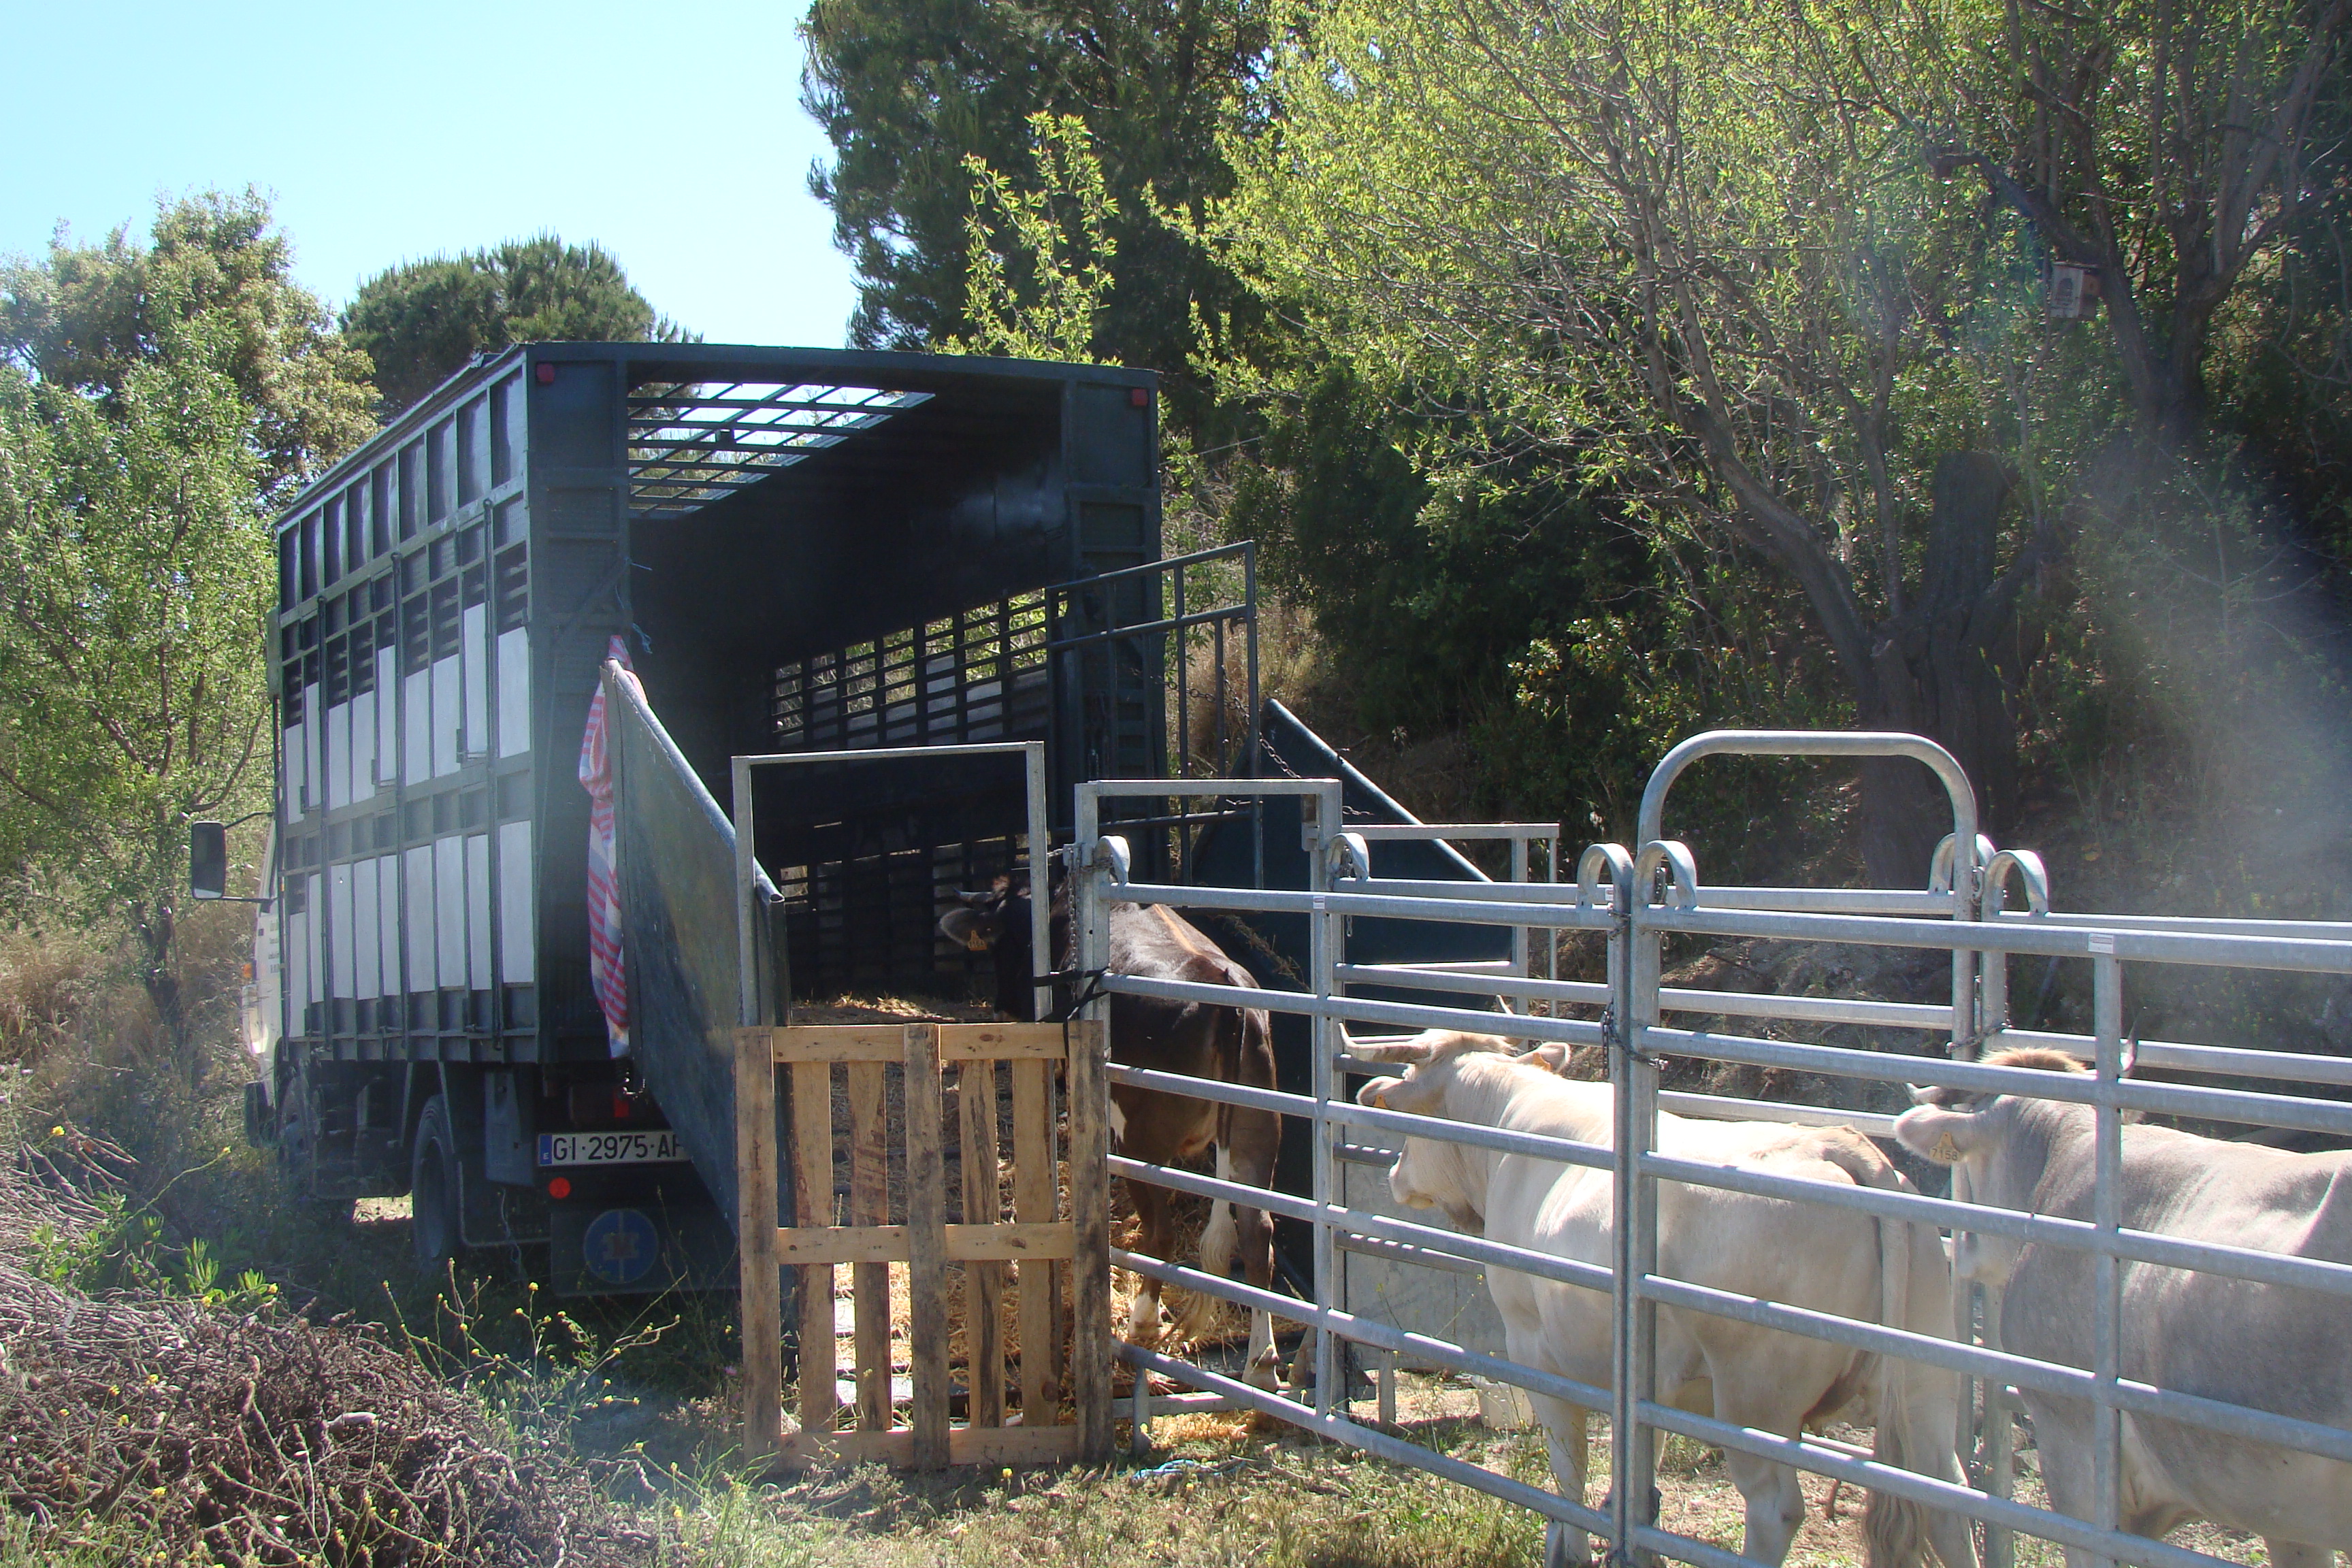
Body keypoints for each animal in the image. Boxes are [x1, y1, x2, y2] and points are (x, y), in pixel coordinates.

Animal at [939, 875, 1285, 1389]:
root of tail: (1224, 994)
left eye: (998, 939)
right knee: (1257, 1232)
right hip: (1257, 1131)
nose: (1001, 1005)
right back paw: (1262, 1364)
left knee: (1161, 1234)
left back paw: (1141, 1323)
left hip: (1142, 1142)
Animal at [1355, 1030, 1978, 1568]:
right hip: (1926, 1381)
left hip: (1755, 1397)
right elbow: (1641, 1464)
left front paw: (1569, 1548)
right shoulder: (1654, 1381)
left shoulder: (1534, 1346)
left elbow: (1568, 1467)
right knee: (1948, 1501)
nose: (1395, 1173)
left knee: (1775, 1507)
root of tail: (1838, 1145)